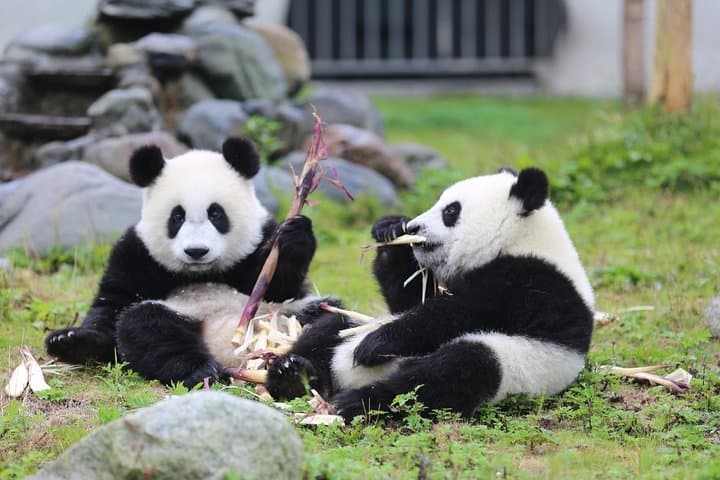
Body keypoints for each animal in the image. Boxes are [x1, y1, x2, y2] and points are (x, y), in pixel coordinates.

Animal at [45, 136, 323, 388]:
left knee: (324, 321)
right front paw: (71, 340)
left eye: (216, 213)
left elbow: (280, 288)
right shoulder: (137, 254)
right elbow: (114, 303)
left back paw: (292, 370)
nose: (196, 251)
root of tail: (232, 355)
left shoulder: (260, 240)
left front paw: (294, 237)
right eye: (177, 216)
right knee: (147, 325)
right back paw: (203, 371)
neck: (202, 273)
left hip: (290, 316)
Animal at [265, 167, 595, 421]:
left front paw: (376, 345)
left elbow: (458, 314)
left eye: (451, 211)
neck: (521, 239)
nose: (414, 226)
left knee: (450, 373)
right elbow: (411, 299)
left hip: (515, 362)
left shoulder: (530, 282)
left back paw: (356, 400)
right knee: (328, 330)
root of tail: (345, 377)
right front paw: (390, 229)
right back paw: (292, 374)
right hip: (355, 323)